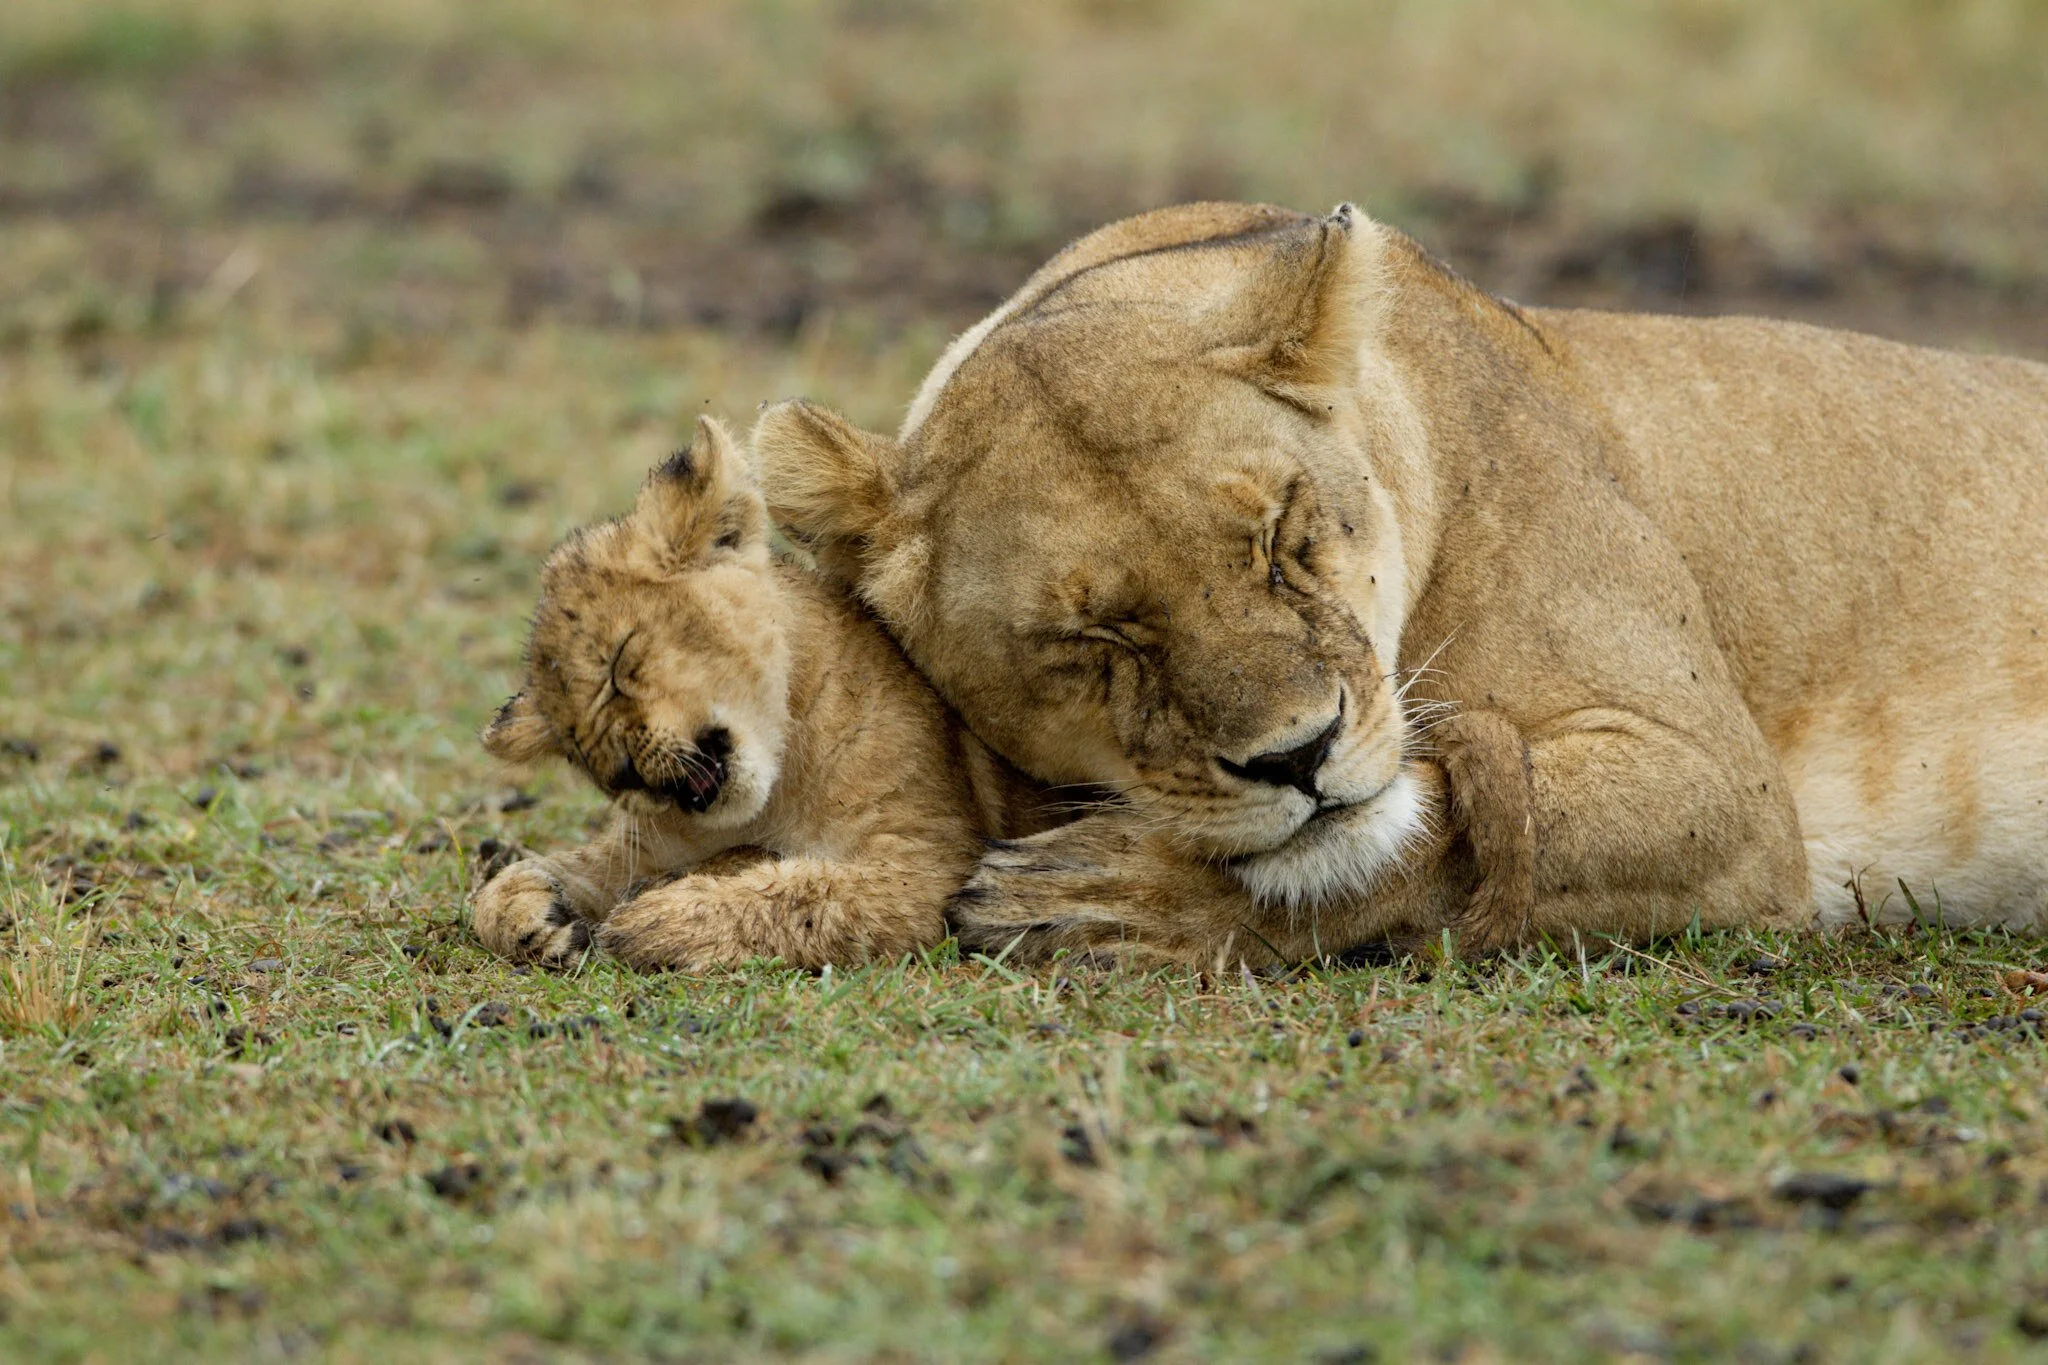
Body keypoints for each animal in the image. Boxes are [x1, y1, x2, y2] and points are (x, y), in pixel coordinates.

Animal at [470, 416, 1051, 971]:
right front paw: (532, 913)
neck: (775, 792)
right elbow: (511, 885)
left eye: (618, 663)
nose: (623, 776)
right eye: (577, 748)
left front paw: (653, 921)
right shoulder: (652, 843)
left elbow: (809, 895)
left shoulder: (928, 862)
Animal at [754, 201, 2048, 966]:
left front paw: (1111, 899)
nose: (1295, 756)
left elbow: (1422, 837)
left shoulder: (1724, 791)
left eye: (1281, 537)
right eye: (1095, 638)